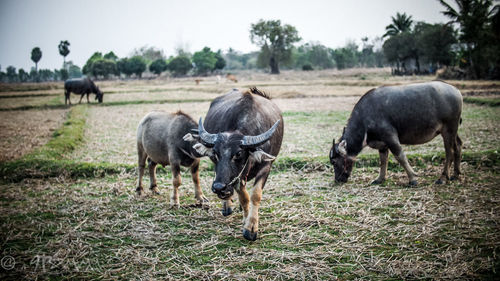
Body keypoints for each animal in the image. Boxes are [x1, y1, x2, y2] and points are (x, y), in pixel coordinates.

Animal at [186, 87, 284, 241]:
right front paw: (246, 221)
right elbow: (244, 197)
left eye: (238, 153)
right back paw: (228, 206)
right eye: (215, 153)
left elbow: (255, 195)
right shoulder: (237, 177)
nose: (218, 188)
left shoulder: (266, 166)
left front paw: (251, 227)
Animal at [330, 80, 462, 186]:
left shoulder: (390, 137)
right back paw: (456, 175)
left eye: (334, 162)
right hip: (453, 131)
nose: (338, 180)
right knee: (458, 146)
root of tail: (456, 91)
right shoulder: (382, 144)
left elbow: (400, 157)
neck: (365, 119)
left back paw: (443, 178)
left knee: (449, 152)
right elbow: (383, 160)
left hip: (449, 129)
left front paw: (413, 179)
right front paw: (380, 179)